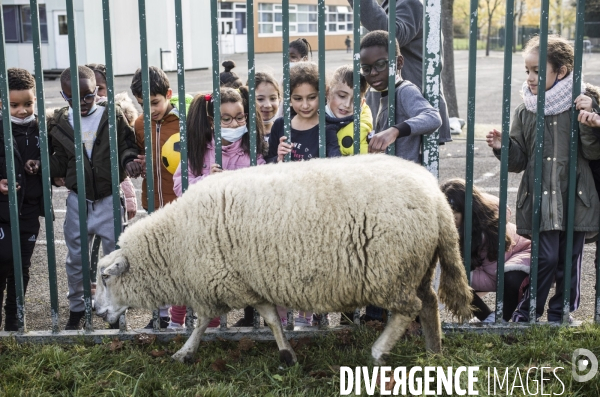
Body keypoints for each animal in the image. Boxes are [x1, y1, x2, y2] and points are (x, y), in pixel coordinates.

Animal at [95, 155, 474, 366]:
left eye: (106, 277)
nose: (98, 312)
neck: (174, 244)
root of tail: (436, 199)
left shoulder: (216, 283)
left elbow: (202, 323)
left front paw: (184, 353)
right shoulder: (247, 283)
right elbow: (271, 319)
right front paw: (286, 354)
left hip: (390, 271)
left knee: (409, 309)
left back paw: (380, 351)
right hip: (417, 266)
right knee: (429, 303)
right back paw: (434, 353)